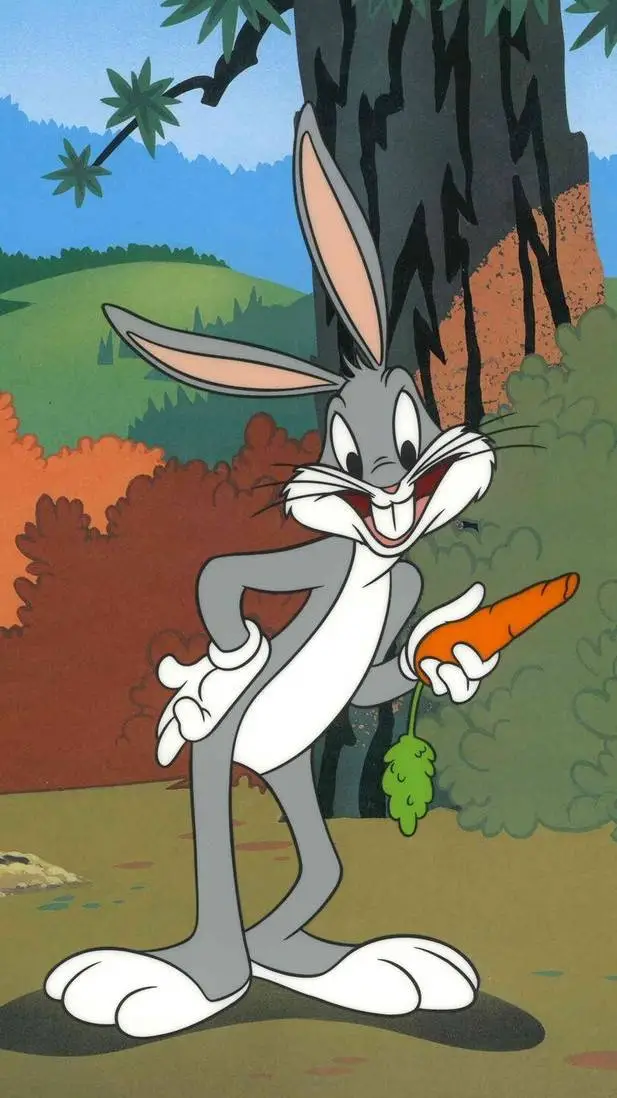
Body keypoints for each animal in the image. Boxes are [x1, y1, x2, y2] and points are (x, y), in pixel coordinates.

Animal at [44, 102, 499, 1038]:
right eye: (347, 452)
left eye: (411, 432)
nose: (390, 483)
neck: (372, 567)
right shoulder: (317, 560)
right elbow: (220, 576)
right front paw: (222, 665)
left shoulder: (401, 581)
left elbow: (383, 675)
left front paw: (445, 659)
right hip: (236, 753)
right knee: (223, 860)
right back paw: (195, 978)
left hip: (289, 766)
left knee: (321, 872)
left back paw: (330, 964)